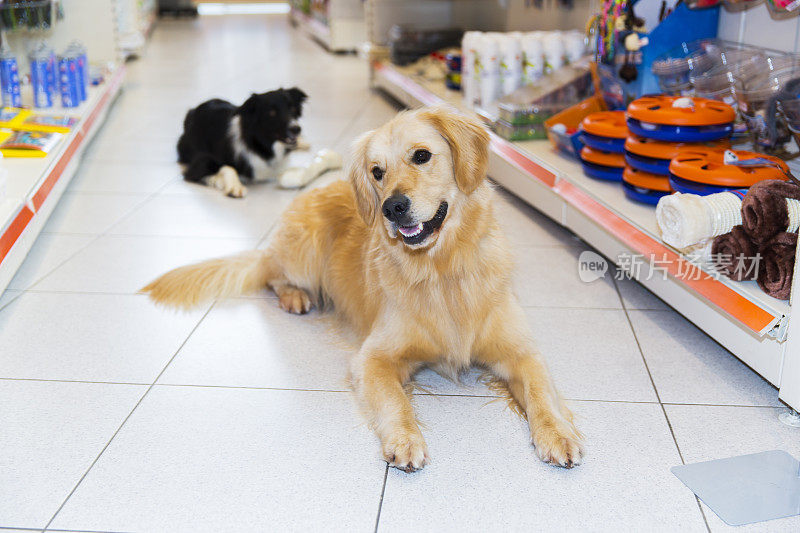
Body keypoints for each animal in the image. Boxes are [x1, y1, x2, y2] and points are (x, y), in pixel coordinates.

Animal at [177, 87, 308, 197]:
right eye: (272, 113)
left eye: (292, 109)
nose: (296, 129)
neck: (259, 146)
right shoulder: (199, 163)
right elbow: (227, 167)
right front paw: (234, 185)